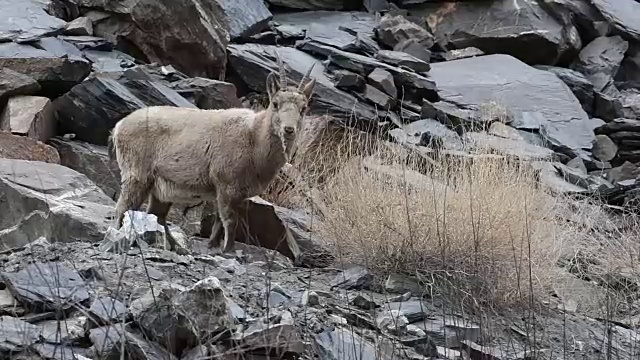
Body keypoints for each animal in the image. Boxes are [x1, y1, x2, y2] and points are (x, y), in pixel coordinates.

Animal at [112, 55, 320, 253]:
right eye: (275, 103)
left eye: (303, 108)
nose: (289, 129)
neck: (254, 138)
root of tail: (119, 127)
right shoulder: (226, 185)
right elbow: (229, 220)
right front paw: (229, 250)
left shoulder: (235, 194)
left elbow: (220, 220)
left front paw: (213, 245)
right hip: (137, 175)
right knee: (123, 207)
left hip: (160, 190)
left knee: (157, 216)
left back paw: (175, 246)